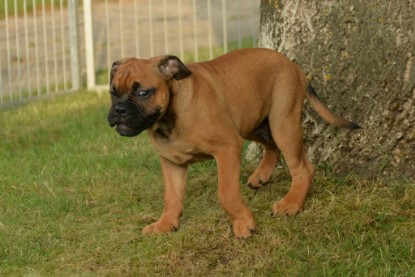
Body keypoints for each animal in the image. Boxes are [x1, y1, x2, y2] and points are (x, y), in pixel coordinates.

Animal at [108, 48, 360, 237]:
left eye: (143, 93)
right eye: (112, 92)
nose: (118, 110)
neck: (171, 116)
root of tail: (292, 65)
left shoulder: (227, 147)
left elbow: (226, 193)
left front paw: (243, 224)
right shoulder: (172, 164)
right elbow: (171, 197)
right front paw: (165, 225)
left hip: (282, 122)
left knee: (302, 168)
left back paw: (291, 204)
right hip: (252, 123)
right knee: (273, 147)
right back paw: (262, 176)